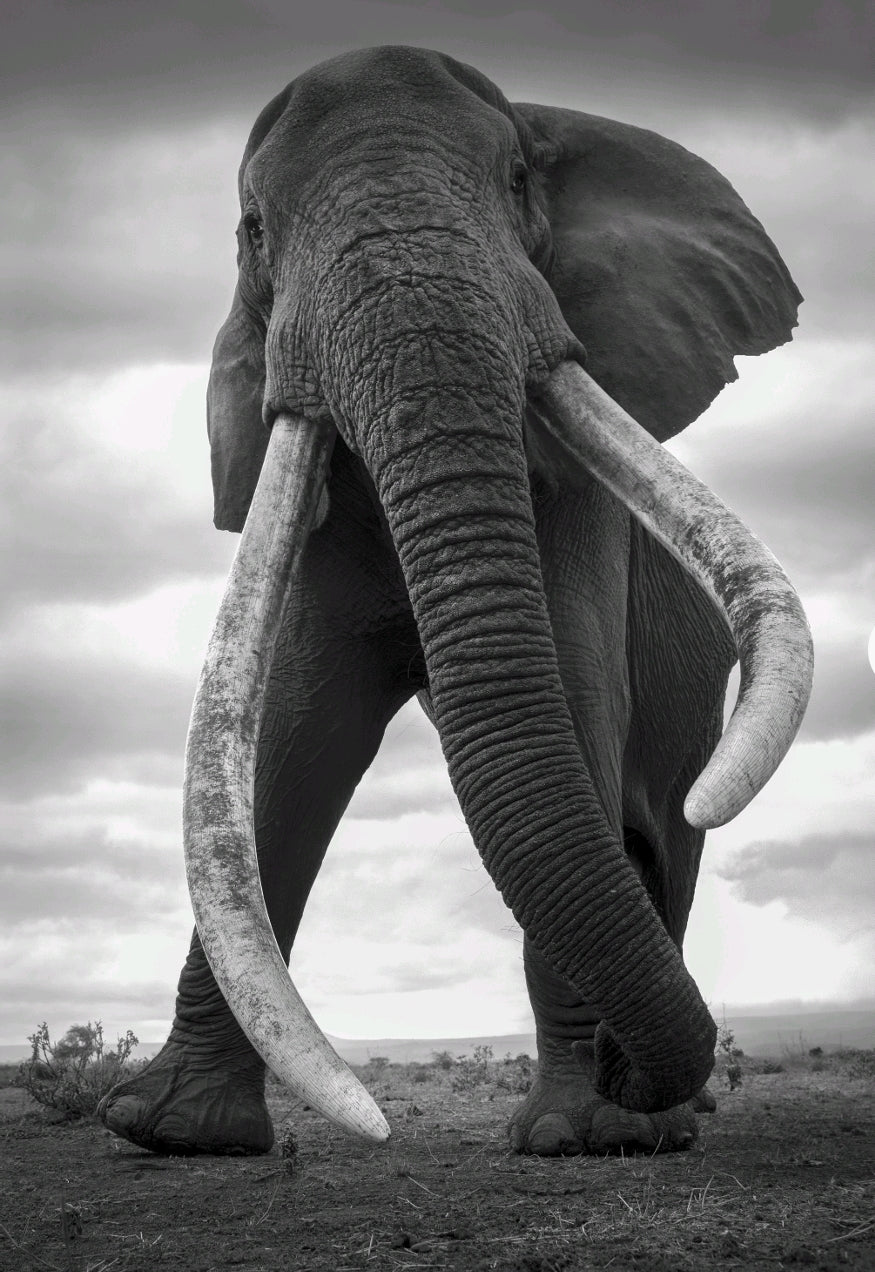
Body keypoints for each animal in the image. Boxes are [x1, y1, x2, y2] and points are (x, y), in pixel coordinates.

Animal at [99, 46, 812, 1159]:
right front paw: (168, 1132)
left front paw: (580, 1136)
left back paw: (659, 1117)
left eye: (518, 183)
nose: (618, 1070)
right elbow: (283, 746)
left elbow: (569, 703)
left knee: (671, 838)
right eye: (253, 231)